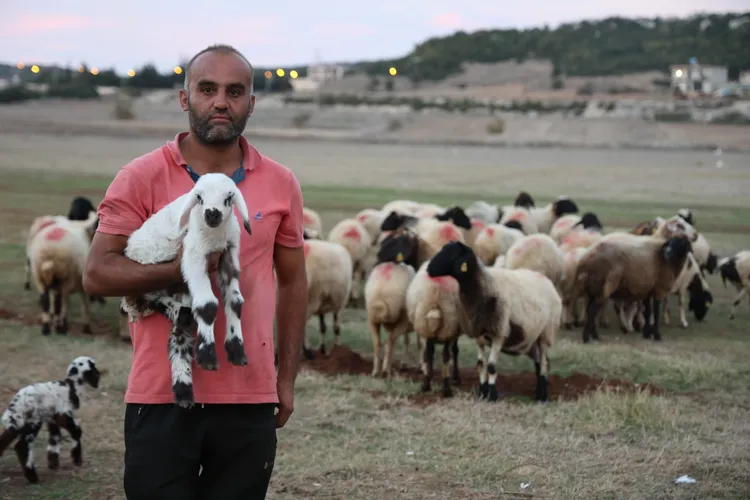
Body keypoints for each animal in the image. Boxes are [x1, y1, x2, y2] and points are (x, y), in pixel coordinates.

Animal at [0, 356, 101, 484]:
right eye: (93, 366)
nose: (99, 374)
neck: (71, 387)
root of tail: (17, 402)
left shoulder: (51, 418)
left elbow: (55, 437)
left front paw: (53, 463)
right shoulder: (63, 414)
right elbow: (76, 432)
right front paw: (76, 459)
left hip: (17, 422)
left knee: (5, 439)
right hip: (33, 421)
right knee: (22, 446)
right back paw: (32, 477)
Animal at [121, 174, 253, 408]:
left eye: (229, 197)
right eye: (199, 197)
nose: (212, 213)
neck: (215, 236)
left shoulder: (228, 254)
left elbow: (235, 301)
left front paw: (236, 350)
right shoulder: (194, 254)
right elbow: (207, 305)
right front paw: (208, 357)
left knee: (178, 334)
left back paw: (183, 390)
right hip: (144, 279)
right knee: (155, 301)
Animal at [426, 241, 560, 402]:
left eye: (453, 255)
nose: (428, 269)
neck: (484, 286)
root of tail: (547, 281)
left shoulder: (499, 332)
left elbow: (491, 366)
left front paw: (492, 394)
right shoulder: (479, 334)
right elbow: (481, 364)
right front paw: (482, 392)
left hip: (546, 332)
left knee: (544, 362)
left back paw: (542, 394)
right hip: (531, 336)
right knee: (539, 361)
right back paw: (538, 390)